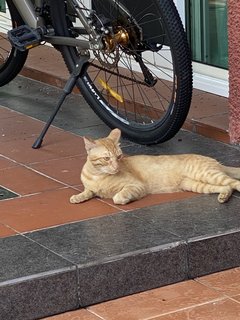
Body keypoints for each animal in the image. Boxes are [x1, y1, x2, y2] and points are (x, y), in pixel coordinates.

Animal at [69, 128, 240, 205]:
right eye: (106, 158)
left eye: (119, 157)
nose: (117, 166)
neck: (97, 176)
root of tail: (216, 160)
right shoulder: (91, 188)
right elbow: (88, 192)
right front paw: (77, 197)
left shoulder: (136, 186)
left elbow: (118, 197)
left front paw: (123, 200)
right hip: (196, 185)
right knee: (227, 187)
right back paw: (223, 197)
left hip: (208, 175)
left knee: (235, 183)